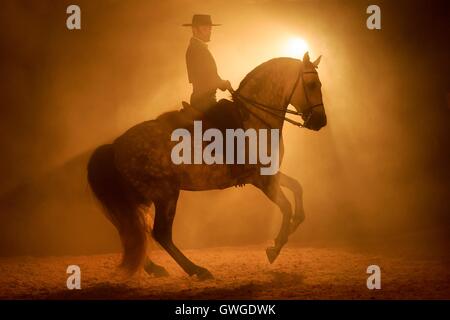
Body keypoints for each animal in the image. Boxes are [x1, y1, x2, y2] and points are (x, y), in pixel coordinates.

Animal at [87, 52, 326, 280]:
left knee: (133, 230)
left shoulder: (271, 173)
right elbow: (286, 207)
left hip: (140, 198)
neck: (252, 118)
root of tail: (116, 145)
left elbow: (297, 189)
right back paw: (197, 270)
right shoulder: (262, 179)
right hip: (166, 194)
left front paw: (288, 231)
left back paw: (155, 268)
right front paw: (275, 248)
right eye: (312, 85)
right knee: (160, 234)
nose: (320, 121)